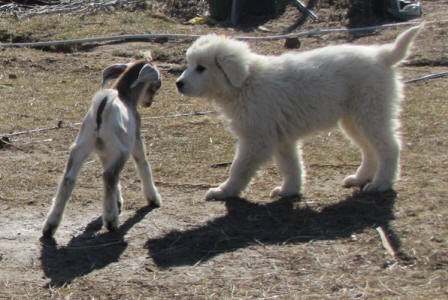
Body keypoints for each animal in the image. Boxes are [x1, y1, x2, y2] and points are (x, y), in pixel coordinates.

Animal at [43, 59, 163, 237]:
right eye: (157, 84)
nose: (149, 103)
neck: (125, 95)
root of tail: (103, 107)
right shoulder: (135, 139)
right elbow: (143, 164)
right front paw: (153, 199)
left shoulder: (104, 151)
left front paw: (118, 200)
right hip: (121, 150)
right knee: (109, 176)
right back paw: (111, 220)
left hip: (81, 144)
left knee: (69, 178)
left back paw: (50, 225)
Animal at [177, 25, 422, 199]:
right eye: (189, 64)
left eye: (201, 68)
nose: (178, 84)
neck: (246, 82)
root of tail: (381, 55)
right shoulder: (282, 138)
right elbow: (291, 166)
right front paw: (289, 190)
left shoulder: (258, 138)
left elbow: (239, 168)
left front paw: (224, 191)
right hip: (354, 119)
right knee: (369, 149)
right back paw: (359, 178)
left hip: (370, 112)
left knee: (388, 148)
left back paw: (381, 183)